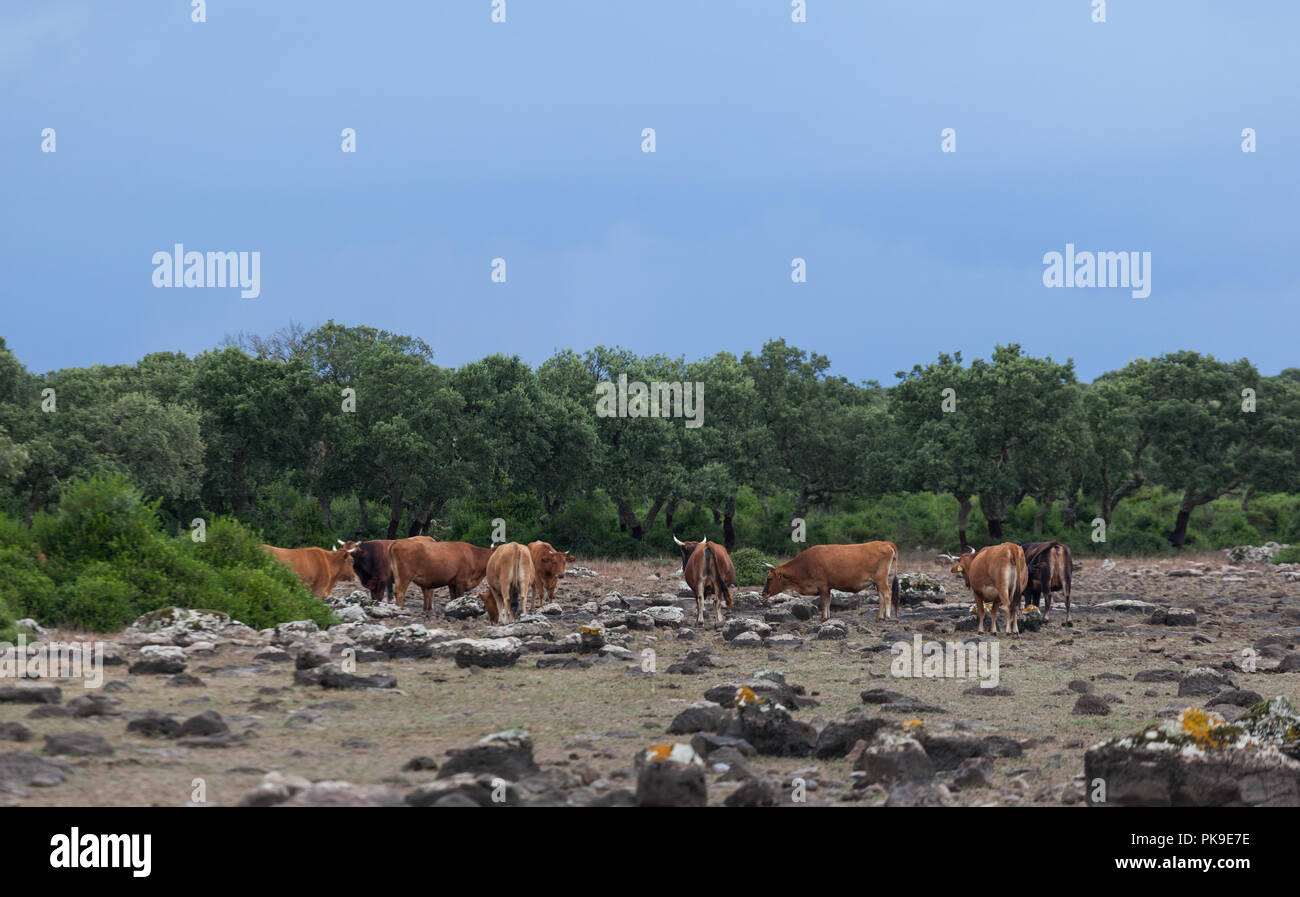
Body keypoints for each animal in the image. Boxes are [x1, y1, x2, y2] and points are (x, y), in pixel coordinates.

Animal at [759, 540, 899, 618]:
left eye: (769, 578)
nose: (763, 593)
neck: (805, 565)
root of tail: (884, 543)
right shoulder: (828, 587)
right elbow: (828, 601)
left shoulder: (822, 586)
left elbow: (824, 601)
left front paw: (824, 617)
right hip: (877, 582)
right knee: (881, 596)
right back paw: (879, 617)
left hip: (881, 580)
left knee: (887, 593)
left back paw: (887, 616)